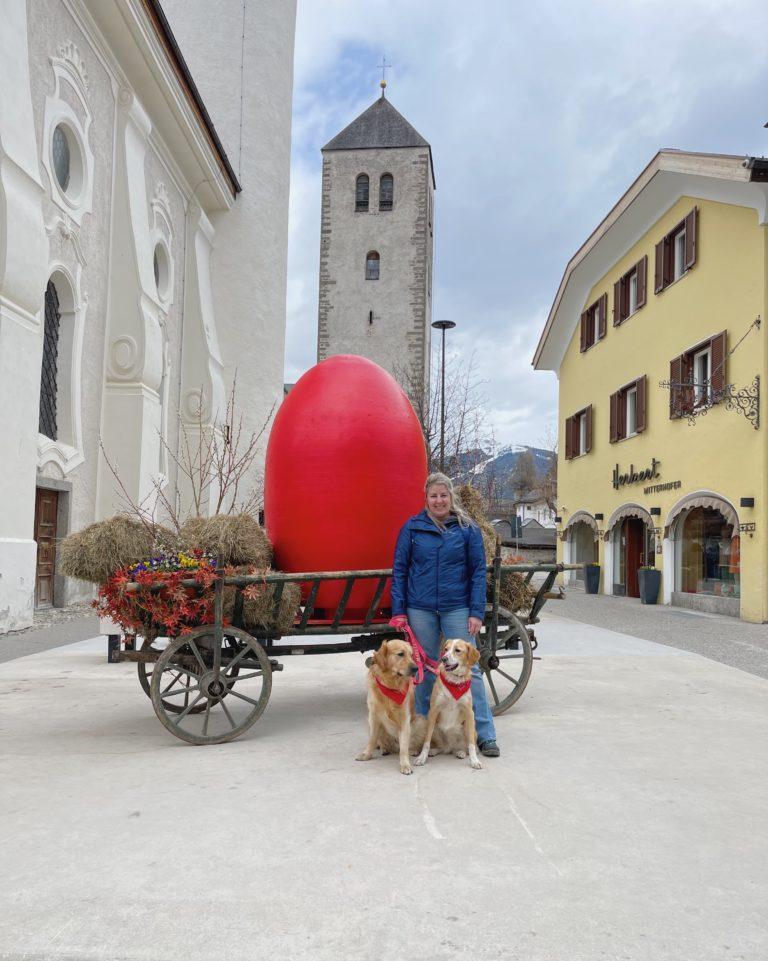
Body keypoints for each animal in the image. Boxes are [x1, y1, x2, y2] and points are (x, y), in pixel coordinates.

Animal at [356, 636, 416, 772]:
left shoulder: (405, 719)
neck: (390, 685)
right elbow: (372, 738)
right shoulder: (373, 716)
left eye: (411, 655)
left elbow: (404, 746)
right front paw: (367, 754)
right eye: (400, 654)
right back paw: (383, 748)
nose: (416, 668)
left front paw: (405, 764)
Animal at [414, 640, 480, 768]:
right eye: (446, 649)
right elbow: (426, 741)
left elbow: (471, 745)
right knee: (442, 747)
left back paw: (461, 752)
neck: (454, 681)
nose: (444, 659)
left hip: (469, 728)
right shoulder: (433, 710)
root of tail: (451, 746)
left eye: (457, 650)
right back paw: (434, 751)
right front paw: (422, 758)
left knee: (466, 746)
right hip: (434, 727)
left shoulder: (469, 713)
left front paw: (474, 761)